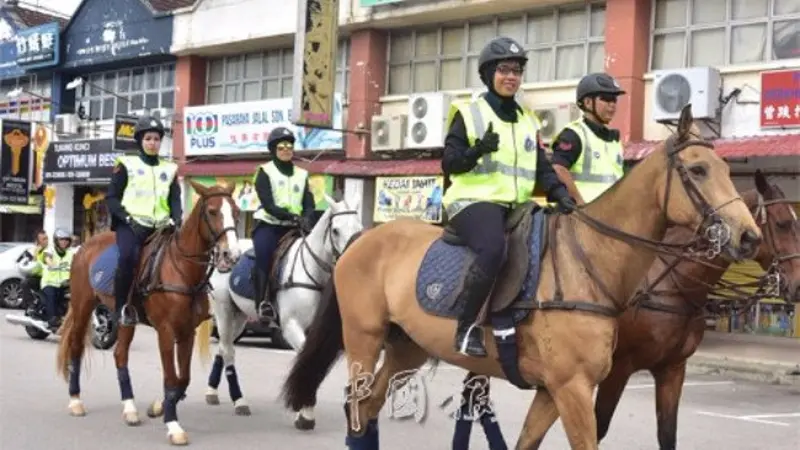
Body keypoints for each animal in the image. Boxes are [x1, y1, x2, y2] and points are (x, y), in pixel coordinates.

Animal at [55, 182, 241, 446]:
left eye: (236, 212)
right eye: (213, 211)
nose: (231, 254)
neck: (182, 269)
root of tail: (85, 245)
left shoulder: (187, 332)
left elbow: (183, 378)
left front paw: (159, 408)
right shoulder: (165, 332)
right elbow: (171, 378)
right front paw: (173, 426)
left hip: (125, 320)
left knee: (120, 356)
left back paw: (130, 409)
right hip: (83, 307)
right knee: (76, 348)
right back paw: (75, 401)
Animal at [203, 192, 362, 426]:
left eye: (359, 227)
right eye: (335, 230)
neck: (311, 273)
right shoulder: (291, 327)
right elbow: (308, 361)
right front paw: (305, 412)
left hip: (239, 316)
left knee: (224, 348)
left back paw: (212, 392)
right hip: (223, 310)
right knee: (228, 350)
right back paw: (239, 402)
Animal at [282, 103, 764, 450]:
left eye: (728, 171)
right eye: (698, 170)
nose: (748, 237)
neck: (590, 262)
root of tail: (363, 238)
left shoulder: (556, 390)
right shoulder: (575, 388)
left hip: (407, 348)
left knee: (371, 408)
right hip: (363, 339)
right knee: (359, 407)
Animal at [588, 171, 800, 448]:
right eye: (783, 223)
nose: (799, 285)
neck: (669, 286)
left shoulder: (672, 369)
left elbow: (667, 434)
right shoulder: (618, 369)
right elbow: (597, 428)